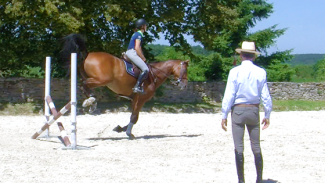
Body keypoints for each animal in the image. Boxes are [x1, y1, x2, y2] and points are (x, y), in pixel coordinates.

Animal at [59, 33, 189, 139]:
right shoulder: (141, 99)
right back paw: (90, 101)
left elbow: (134, 116)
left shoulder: (134, 99)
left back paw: (92, 102)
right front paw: (128, 133)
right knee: (83, 85)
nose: (184, 85)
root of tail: (88, 54)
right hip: (102, 80)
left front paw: (121, 129)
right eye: (185, 70)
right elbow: (135, 117)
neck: (154, 74)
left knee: (84, 85)